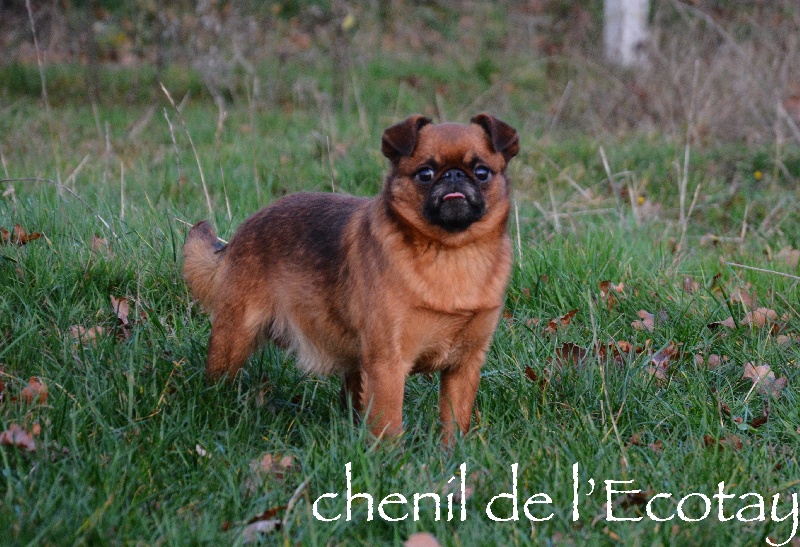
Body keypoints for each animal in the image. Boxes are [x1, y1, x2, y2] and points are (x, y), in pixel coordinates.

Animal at [183, 113, 519, 443]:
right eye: (425, 174)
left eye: (482, 172)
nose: (454, 176)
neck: (452, 251)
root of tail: (237, 237)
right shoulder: (387, 365)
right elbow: (388, 425)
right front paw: (391, 458)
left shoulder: (464, 367)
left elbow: (454, 423)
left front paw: (451, 455)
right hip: (234, 337)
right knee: (218, 379)